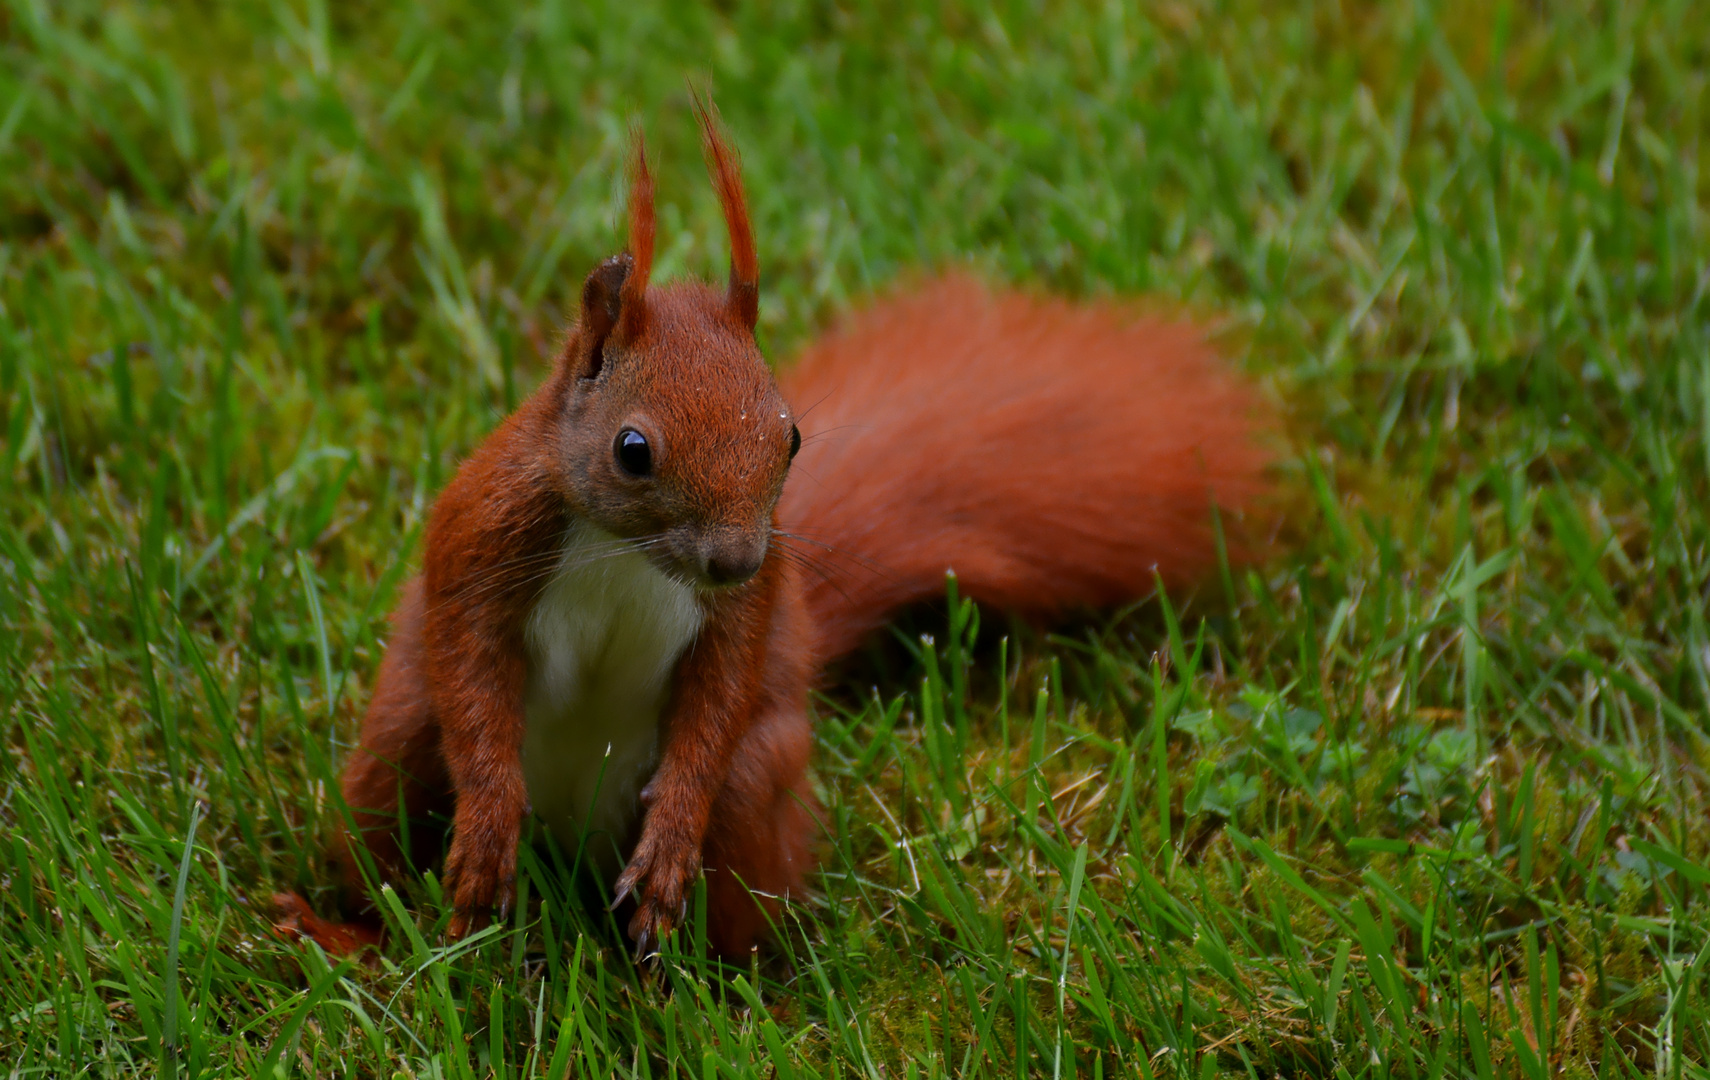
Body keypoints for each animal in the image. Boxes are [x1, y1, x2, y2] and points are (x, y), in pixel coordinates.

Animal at [273, 105, 1272, 956]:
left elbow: (719, 697)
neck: (626, 554)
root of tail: (568, 850)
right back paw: (347, 937)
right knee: (384, 820)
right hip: (399, 745)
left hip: (757, 790)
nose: (736, 557)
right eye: (632, 449)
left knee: (731, 888)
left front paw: (670, 836)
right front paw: (484, 833)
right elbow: (472, 668)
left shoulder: (746, 616)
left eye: (790, 436)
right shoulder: (483, 537)